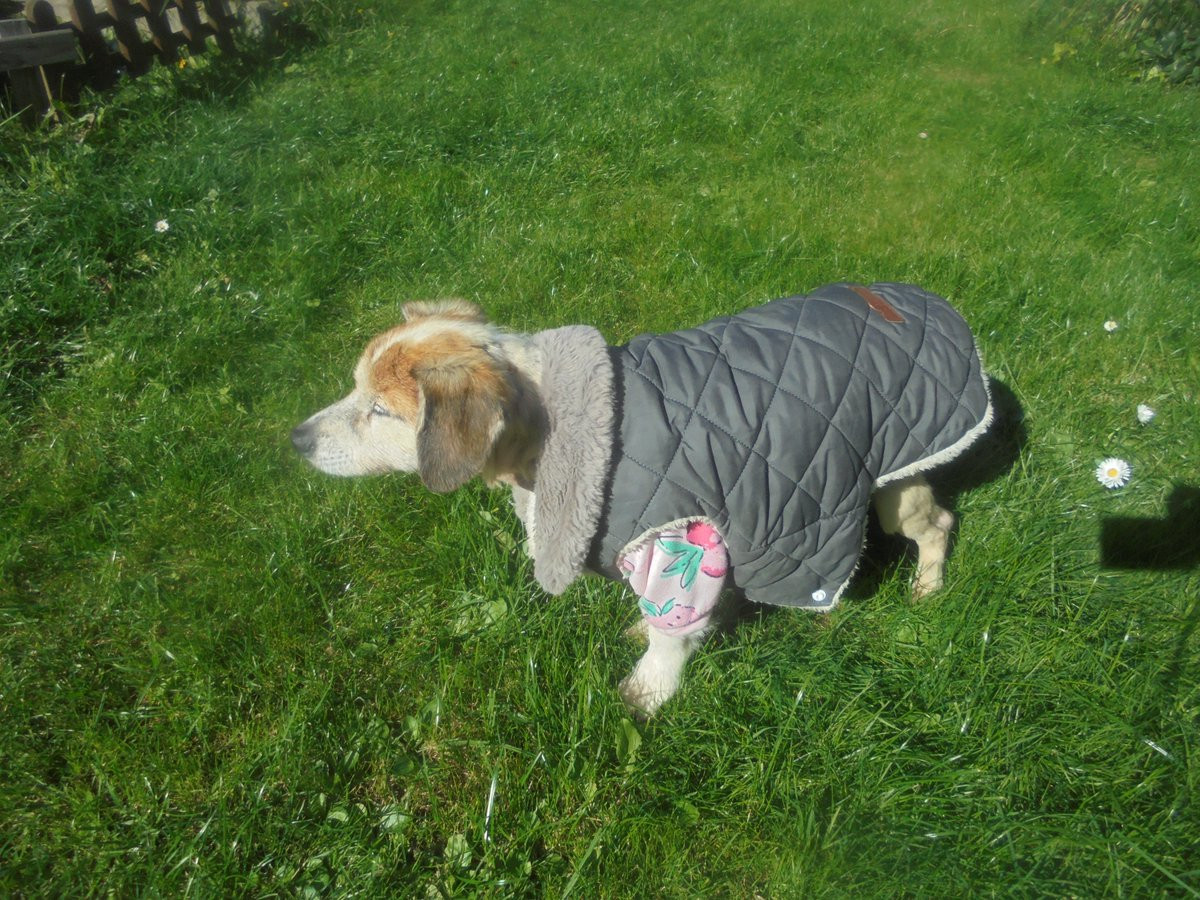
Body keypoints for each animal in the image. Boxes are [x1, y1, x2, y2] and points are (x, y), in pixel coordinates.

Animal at [292, 285, 992, 716]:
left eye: (381, 411)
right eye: (354, 389)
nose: (296, 439)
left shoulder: (685, 541)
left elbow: (668, 641)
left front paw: (645, 695)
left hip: (895, 485)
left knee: (939, 523)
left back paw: (927, 591)